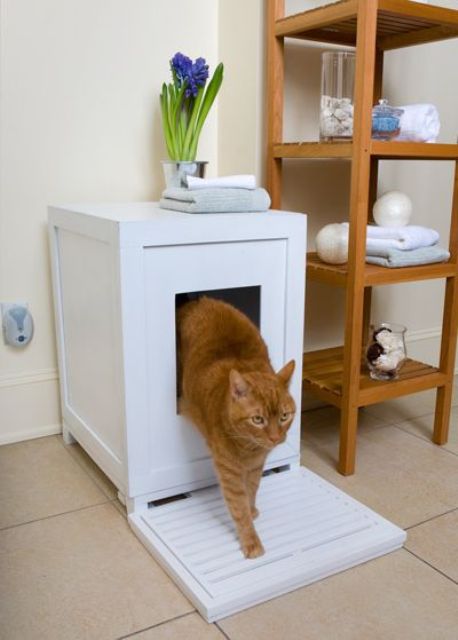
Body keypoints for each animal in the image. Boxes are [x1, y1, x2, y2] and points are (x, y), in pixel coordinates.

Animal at [177, 298, 296, 556]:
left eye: (284, 416)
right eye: (258, 420)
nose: (275, 438)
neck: (249, 447)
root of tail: (198, 300)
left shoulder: (256, 466)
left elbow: (252, 489)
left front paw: (252, 510)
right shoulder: (228, 470)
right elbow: (239, 505)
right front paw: (250, 540)